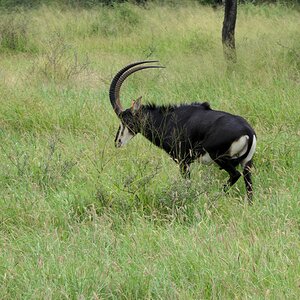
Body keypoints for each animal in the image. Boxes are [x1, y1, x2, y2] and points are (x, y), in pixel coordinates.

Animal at [109, 60, 256, 202]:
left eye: (125, 120)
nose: (117, 142)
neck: (167, 120)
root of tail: (248, 131)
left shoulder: (183, 161)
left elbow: (186, 183)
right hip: (246, 163)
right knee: (249, 189)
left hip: (219, 158)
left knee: (235, 174)